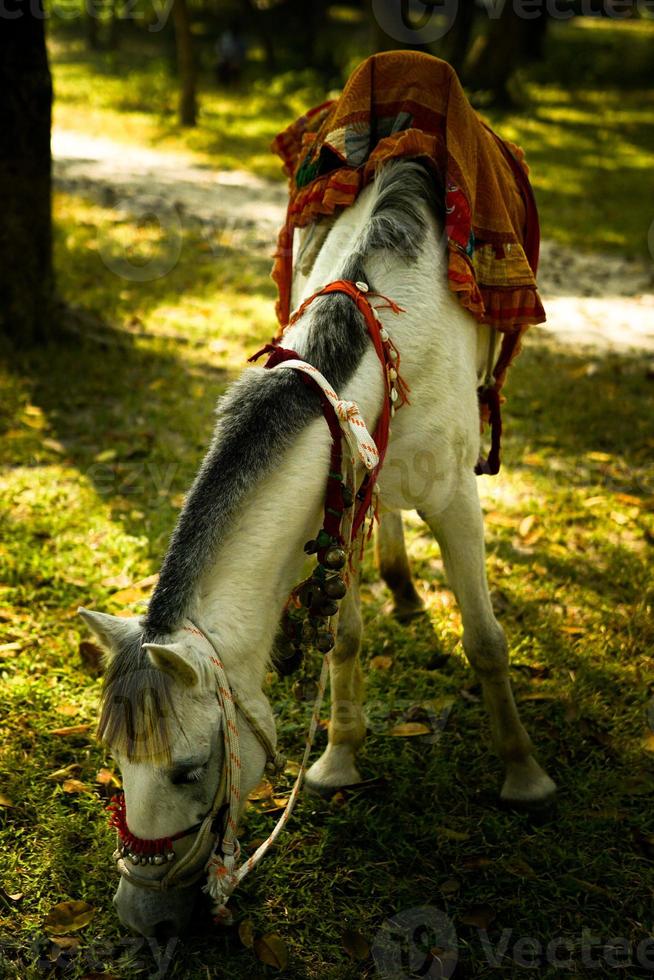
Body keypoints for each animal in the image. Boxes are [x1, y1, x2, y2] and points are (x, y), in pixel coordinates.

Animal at [79, 161, 556, 940]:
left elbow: (486, 642)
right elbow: (346, 642)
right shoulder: (341, 493)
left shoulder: (456, 496)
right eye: (116, 759)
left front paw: (525, 777)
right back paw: (400, 586)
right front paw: (339, 759)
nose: (139, 915)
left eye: (187, 769)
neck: (382, 355)